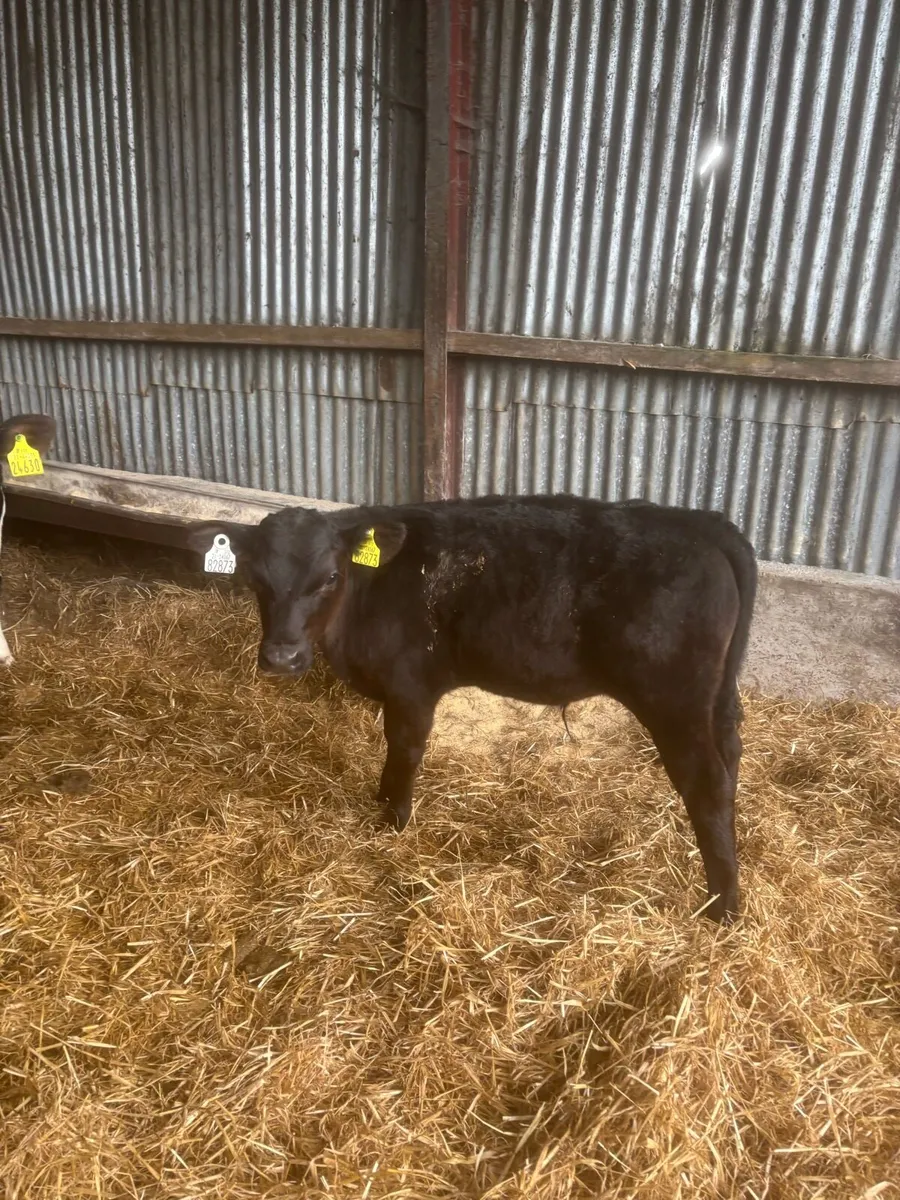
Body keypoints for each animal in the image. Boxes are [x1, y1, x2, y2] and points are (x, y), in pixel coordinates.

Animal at [188, 495, 757, 923]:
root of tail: (699, 521)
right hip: (716, 698)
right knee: (730, 759)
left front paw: (392, 819)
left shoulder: (411, 686)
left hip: (673, 697)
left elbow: (404, 749)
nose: (281, 658)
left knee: (706, 782)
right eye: (256, 577)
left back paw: (722, 907)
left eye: (329, 577)